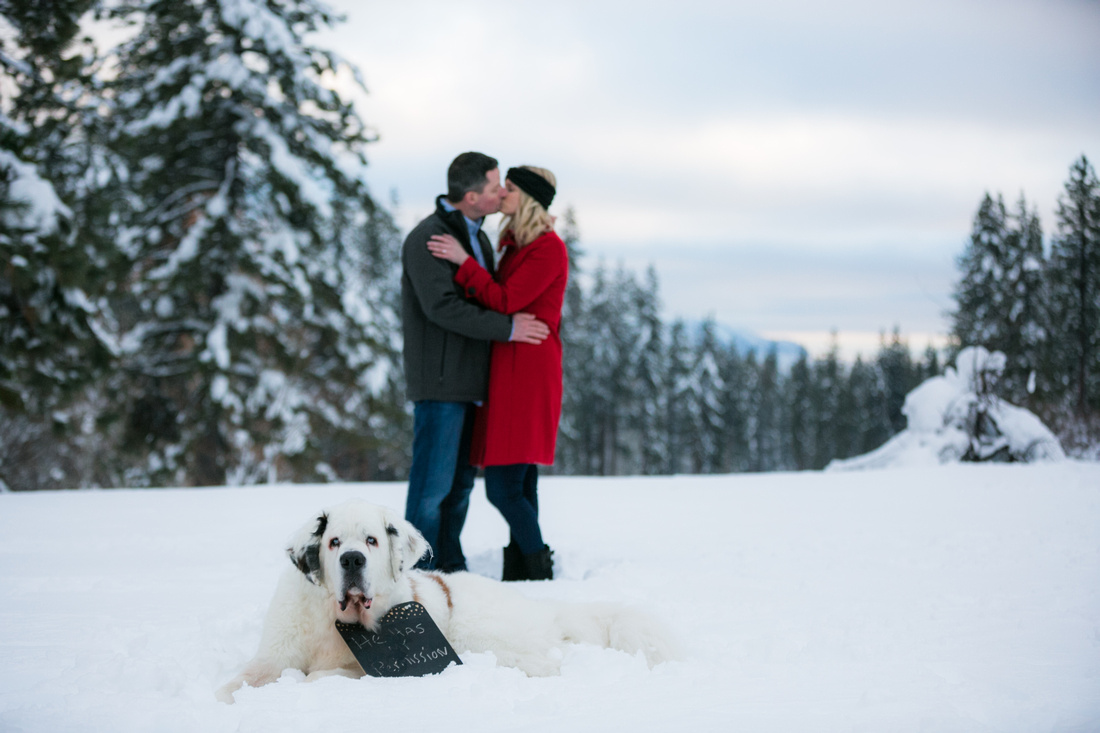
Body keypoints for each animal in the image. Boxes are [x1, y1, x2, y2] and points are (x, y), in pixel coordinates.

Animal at [215, 499, 677, 699]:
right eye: (333, 543)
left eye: (371, 540)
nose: (352, 559)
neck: (335, 615)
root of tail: (545, 607)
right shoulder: (272, 656)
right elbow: (238, 682)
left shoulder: (368, 668)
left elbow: (323, 676)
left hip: (473, 633)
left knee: (543, 665)